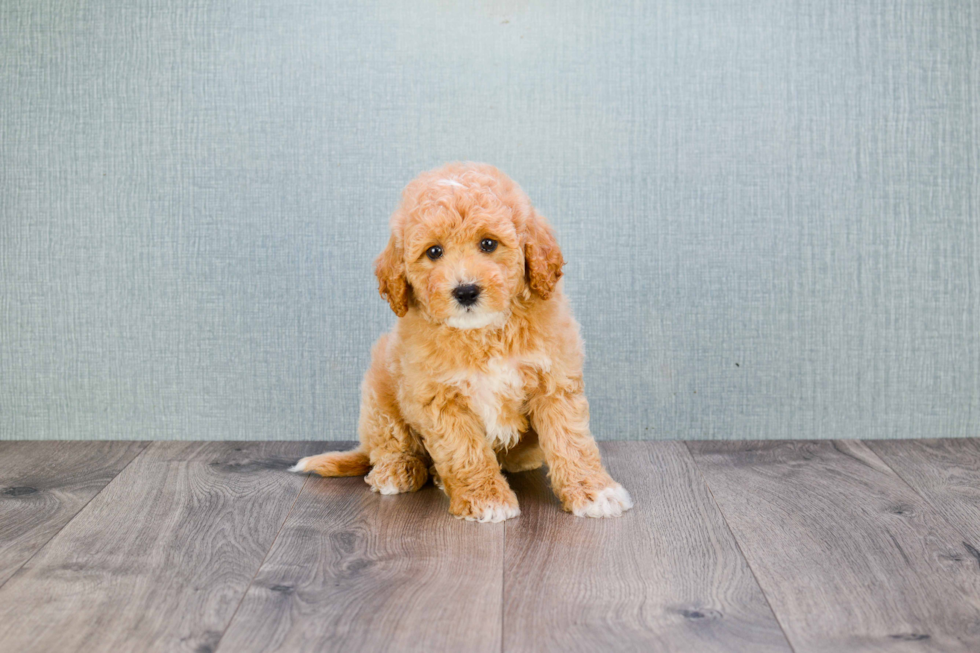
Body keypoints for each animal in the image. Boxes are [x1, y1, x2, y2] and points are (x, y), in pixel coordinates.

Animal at [290, 162, 636, 520]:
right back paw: (398, 470)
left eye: (488, 244)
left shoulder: (554, 379)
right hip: (378, 388)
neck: (484, 332)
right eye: (434, 252)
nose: (466, 290)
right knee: (389, 440)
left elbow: (571, 440)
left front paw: (594, 491)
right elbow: (465, 451)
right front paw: (488, 499)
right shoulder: (438, 398)